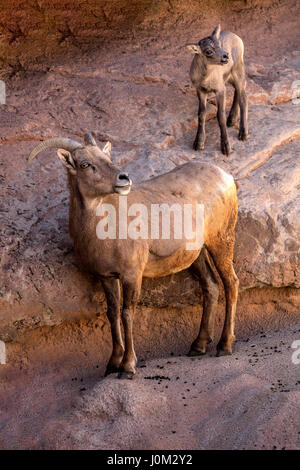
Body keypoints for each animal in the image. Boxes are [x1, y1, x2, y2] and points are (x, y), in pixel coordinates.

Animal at [28, 132, 239, 378]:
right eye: (85, 164)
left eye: (107, 157)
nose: (124, 178)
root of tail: (227, 177)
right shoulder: (107, 277)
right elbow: (112, 314)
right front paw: (112, 364)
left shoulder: (131, 275)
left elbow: (127, 314)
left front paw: (127, 367)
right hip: (197, 255)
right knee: (211, 286)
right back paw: (198, 346)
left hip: (221, 240)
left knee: (231, 282)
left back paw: (224, 345)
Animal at [186, 23, 247, 155]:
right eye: (208, 51)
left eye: (219, 45)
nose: (226, 56)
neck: (205, 78)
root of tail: (237, 37)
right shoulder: (201, 91)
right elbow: (201, 114)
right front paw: (198, 144)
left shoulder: (220, 90)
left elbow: (220, 115)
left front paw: (226, 148)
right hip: (229, 77)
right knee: (237, 92)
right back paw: (232, 120)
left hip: (238, 71)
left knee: (243, 97)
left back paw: (243, 134)